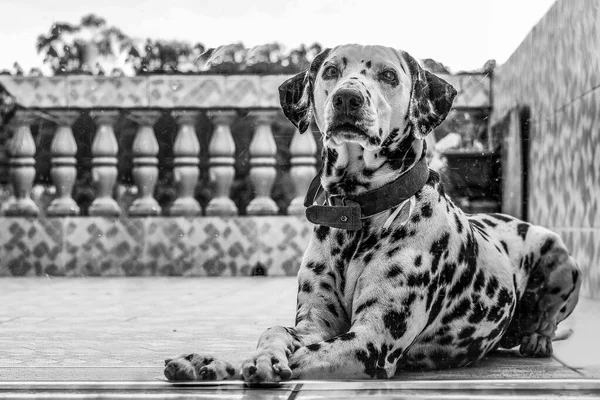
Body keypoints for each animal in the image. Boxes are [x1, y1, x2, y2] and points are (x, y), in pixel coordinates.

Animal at [164, 43, 580, 382]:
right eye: (331, 71)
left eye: (389, 75)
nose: (347, 98)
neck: (358, 210)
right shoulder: (315, 324)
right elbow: (276, 332)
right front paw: (215, 361)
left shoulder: (369, 343)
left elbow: (303, 356)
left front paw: (240, 364)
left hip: (561, 259)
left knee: (549, 318)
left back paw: (537, 339)